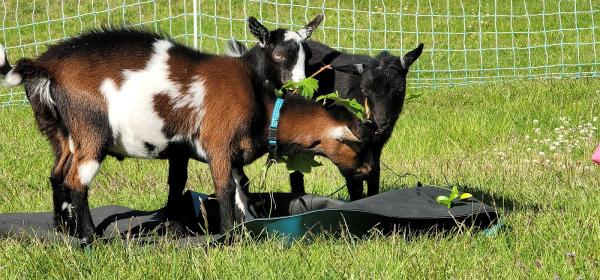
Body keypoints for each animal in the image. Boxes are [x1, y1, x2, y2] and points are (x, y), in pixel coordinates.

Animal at [0, 15, 372, 243]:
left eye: (306, 56)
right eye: (358, 145)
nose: (368, 172)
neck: (256, 97)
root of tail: (45, 65)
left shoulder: (217, 153)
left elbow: (236, 191)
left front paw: (243, 226)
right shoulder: (217, 144)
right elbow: (224, 190)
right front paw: (227, 237)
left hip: (62, 135)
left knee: (57, 175)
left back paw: (64, 230)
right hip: (91, 133)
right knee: (77, 182)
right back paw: (91, 237)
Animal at [227, 39, 424, 200]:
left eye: (399, 89)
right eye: (365, 90)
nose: (380, 122)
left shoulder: (374, 148)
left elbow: (374, 177)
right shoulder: (346, 146)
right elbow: (354, 184)